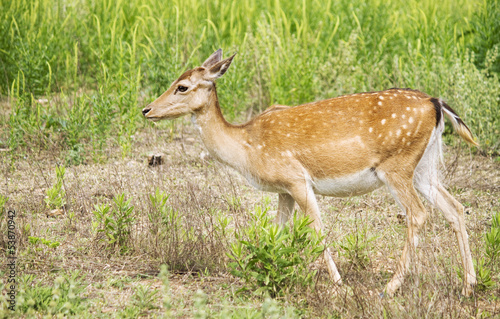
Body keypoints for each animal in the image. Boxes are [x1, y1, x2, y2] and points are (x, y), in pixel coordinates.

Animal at [141, 48, 476, 296]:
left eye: (182, 87)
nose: (146, 109)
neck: (246, 147)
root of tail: (436, 103)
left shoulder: (296, 178)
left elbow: (316, 230)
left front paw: (340, 286)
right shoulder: (283, 190)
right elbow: (277, 231)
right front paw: (268, 272)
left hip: (397, 166)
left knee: (418, 214)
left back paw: (390, 287)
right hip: (423, 167)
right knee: (455, 207)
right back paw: (468, 285)